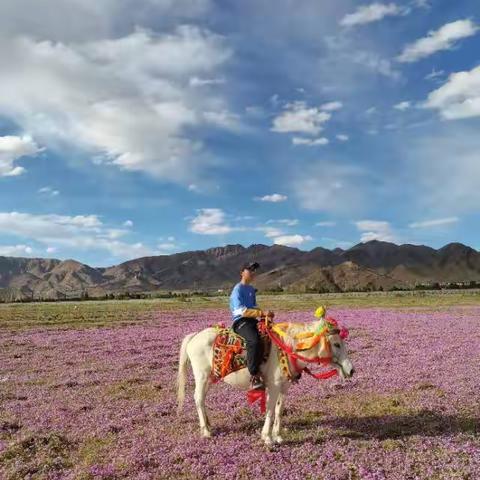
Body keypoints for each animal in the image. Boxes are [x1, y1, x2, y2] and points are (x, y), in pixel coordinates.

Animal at [176, 316, 352, 444]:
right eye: (336, 344)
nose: (351, 370)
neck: (286, 349)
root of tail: (194, 337)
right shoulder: (273, 387)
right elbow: (270, 410)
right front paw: (267, 437)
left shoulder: (284, 387)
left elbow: (279, 410)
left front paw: (278, 436)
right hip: (201, 376)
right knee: (198, 398)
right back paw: (206, 431)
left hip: (209, 378)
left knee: (202, 399)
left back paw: (208, 425)